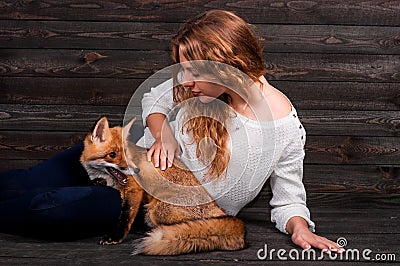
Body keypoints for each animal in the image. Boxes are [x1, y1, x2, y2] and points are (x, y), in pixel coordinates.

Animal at [79, 117, 245, 255]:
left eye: (126, 153)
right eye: (112, 154)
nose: (137, 170)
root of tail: (219, 209)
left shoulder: (134, 190)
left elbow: (125, 217)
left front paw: (115, 237)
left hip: (155, 211)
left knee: (189, 225)